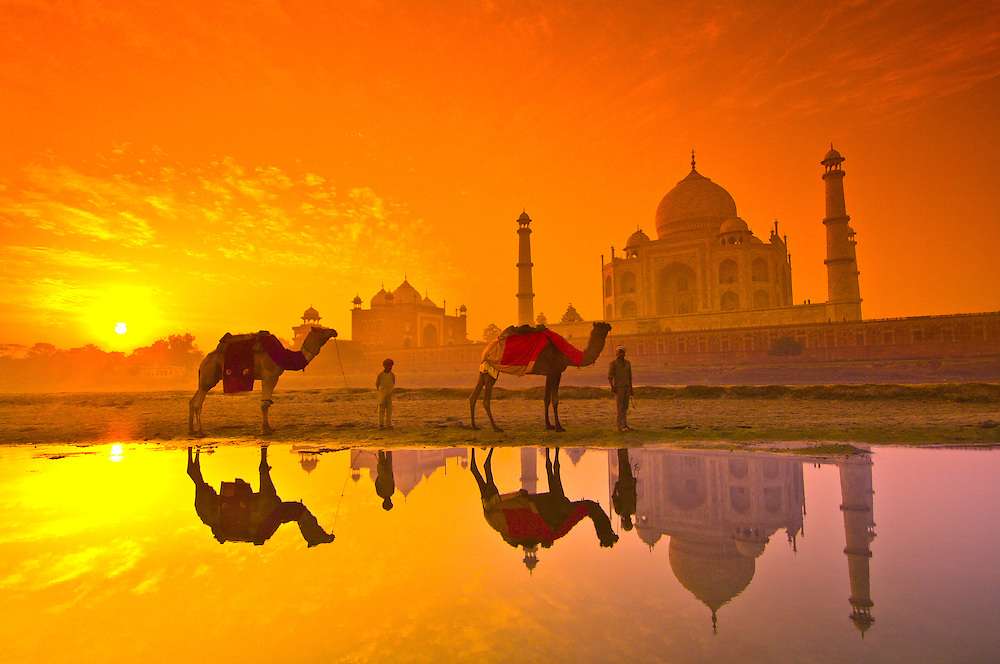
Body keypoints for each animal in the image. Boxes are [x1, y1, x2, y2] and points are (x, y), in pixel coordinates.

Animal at [189, 326, 338, 436]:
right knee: (198, 402)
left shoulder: (271, 377)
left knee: (193, 400)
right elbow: (265, 404)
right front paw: (266, 430)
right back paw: (201, 432)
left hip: (206, 378)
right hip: (209, 375)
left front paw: (268, 428)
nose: (334, 331)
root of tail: (203, 362)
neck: (283, 356)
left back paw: (192, 430)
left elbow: (267, 403)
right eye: (322, 330)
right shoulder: (270, 375)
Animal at [472, 320, 612, 430]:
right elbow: (555, 400)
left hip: (484, 371)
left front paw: (549, 425)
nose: (609, 325)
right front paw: (559, 427)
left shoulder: (549, 374)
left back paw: (474, 426)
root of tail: (485, 350)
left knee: (474, 395)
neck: (567, 355)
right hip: (492, 370)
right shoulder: (555, 371)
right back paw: (495, 428)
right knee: (486, 399)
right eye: (601, 326)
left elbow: (546, 399)